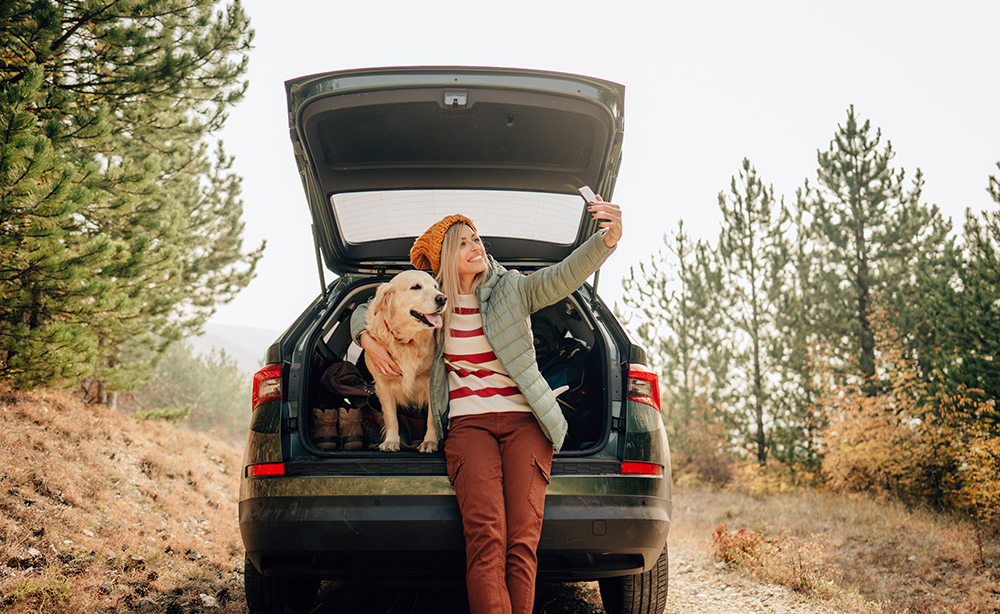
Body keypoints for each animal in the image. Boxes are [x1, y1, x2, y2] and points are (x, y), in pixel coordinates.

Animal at [366, 272, 448, 454]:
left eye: (435, 286)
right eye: (416, 287)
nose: (443, 298)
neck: (407, 340)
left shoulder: (431, 382)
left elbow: (432, 418)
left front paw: (429, 442)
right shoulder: (383, 384)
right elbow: (391, 417)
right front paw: (391, 441)